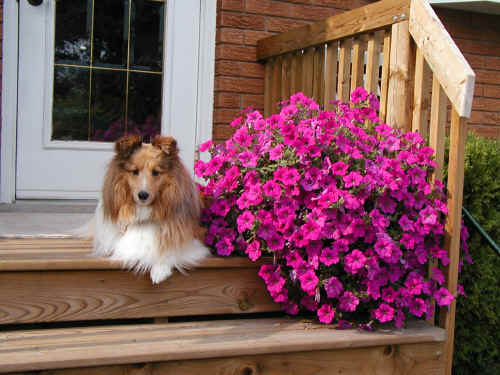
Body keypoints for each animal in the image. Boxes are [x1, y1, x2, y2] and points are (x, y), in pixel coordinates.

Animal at [88, 134, 209, 284]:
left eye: (156, 172)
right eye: (135, 171)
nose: (143, 195)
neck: (144, 210)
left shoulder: (193, 244)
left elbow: (169, 250)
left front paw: (159, 271)